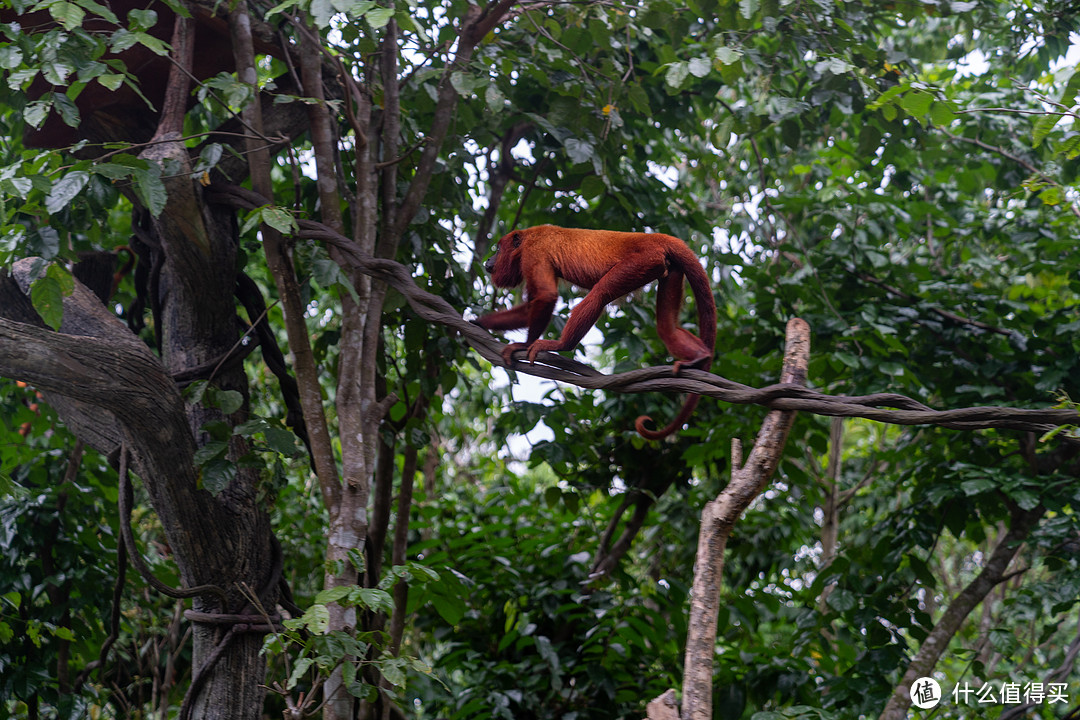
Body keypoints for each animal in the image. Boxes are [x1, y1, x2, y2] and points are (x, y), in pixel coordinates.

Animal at [479, 223, 717, 440]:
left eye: (498, 249)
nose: (488, 261)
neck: (528, 237)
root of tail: (655, 237)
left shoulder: (533, 252)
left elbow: (546, 296)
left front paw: (524, 345)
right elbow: (531, 306)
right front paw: (477, 321)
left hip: (643, 261)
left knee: (600, 293)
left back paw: (561, 345)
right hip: (669, 269)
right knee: (666, 328)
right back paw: (699, 355)